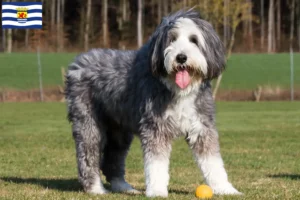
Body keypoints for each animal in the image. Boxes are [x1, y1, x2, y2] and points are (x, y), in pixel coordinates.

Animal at [65, 9, 241, 197]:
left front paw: (225, 188)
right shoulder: (156, 127)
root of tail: (78, 61)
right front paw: (157, 190)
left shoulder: (201, 126)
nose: (181, 57)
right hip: (88, 122)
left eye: (194, 39)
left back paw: (124, 187)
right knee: (88, 156)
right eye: (172, 39)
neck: (178, 89)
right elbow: (156, 164)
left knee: (113, 158)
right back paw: (96, 188)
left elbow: (213, 161)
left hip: (119, 130)